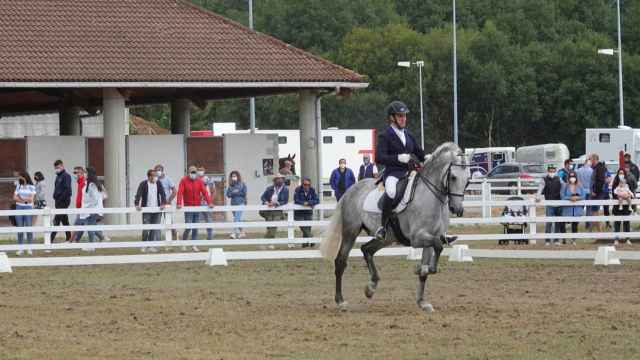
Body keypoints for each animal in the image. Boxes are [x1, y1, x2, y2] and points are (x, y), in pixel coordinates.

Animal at [320, 143, 470, 312]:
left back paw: (371, 288)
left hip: (387, 238)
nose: (457, 209)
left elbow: (430, 264)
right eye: (453, 177)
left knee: (367, 249)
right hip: (350, 232)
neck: (431, 198)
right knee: (341, 261)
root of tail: (350, 190)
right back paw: (341, 301)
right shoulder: (417, 238)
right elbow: (437, 246)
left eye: (467, 180)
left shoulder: (431, 238)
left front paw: (422, 301)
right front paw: (419, 268)